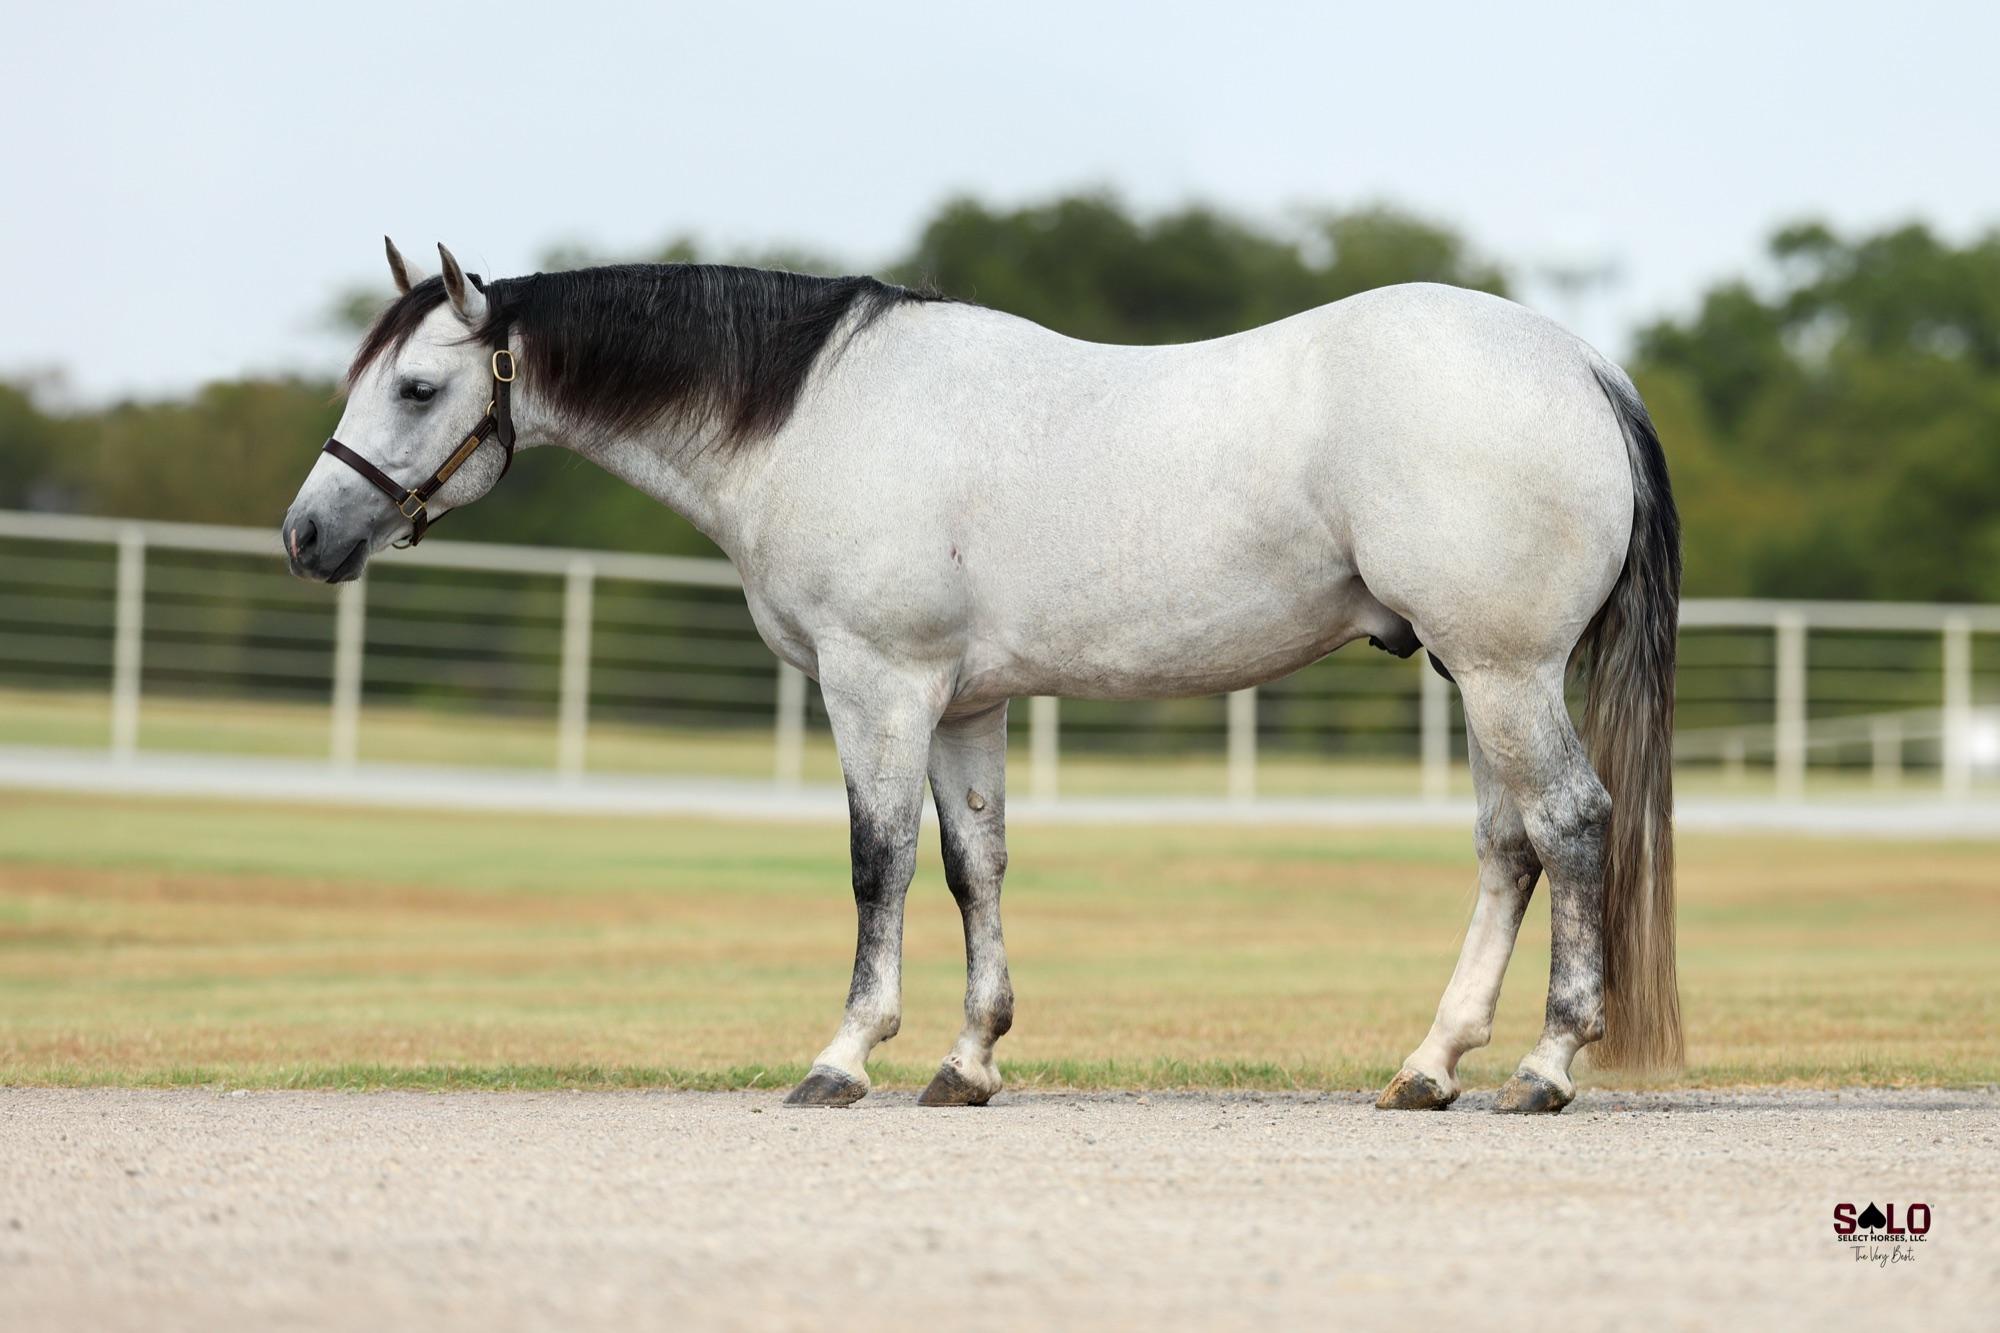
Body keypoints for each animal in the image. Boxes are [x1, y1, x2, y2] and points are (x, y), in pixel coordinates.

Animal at [282, 238, 1682, 1114]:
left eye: (419, 386)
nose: (306, 535)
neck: (812, 413)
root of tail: (1580, 366)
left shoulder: (878, 684)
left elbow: (878, 863)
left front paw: (845, 1056)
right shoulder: (964, 703)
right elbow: (975, 867)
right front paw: (967, 1062)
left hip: (1503, 672)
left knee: (1569, 826)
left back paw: (1544, 1068)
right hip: (1481, 675)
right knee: (1507, 849)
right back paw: (1428, 1064)